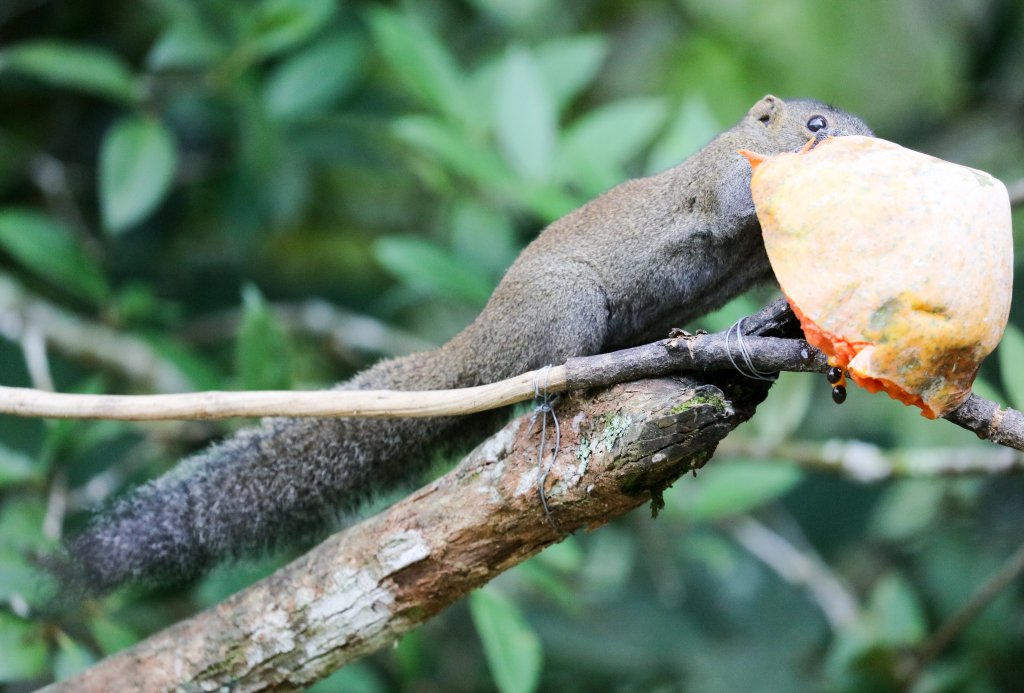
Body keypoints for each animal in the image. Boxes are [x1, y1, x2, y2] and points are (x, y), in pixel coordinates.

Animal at [63, 95, 871, 593]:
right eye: (815, 123)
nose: (868, 152)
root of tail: (482, 345)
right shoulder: (717, 186)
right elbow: (734, 203)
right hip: (565, 309)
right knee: (548, 372)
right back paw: (563, 395)